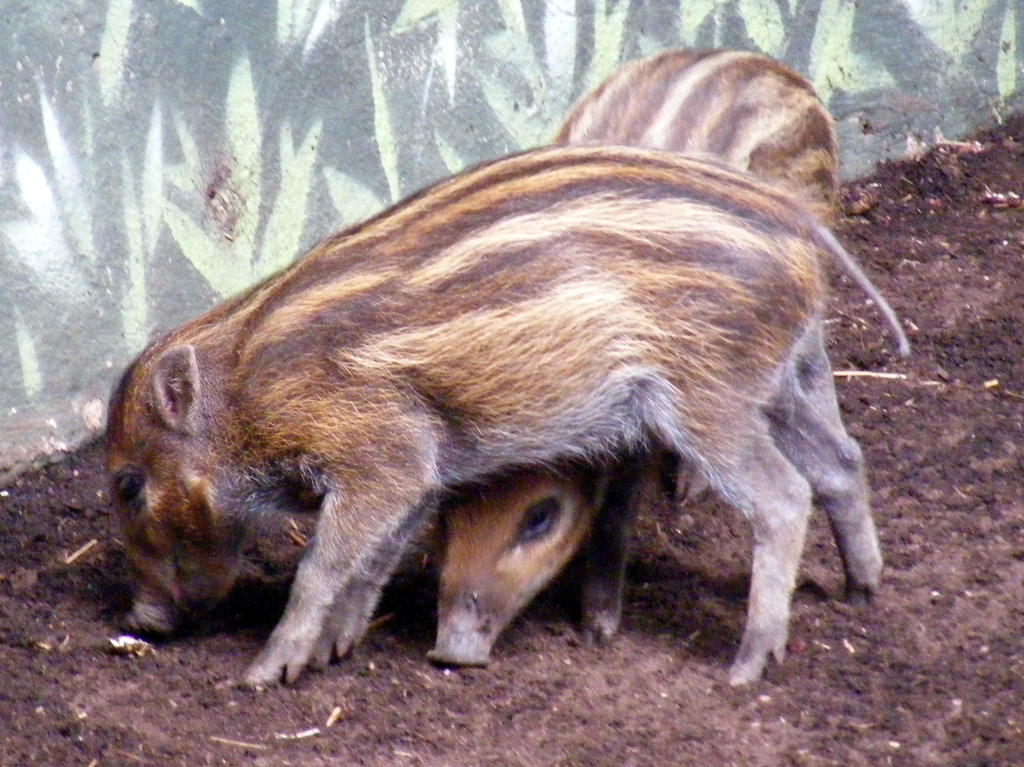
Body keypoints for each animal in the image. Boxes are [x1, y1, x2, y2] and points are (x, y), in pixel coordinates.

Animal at [106, 145, 881, 687]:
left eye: (128, 485)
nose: (139, 618)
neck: (246, 390)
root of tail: (799, 230)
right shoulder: (421, 469)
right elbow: (374, 561)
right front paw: (336, 650)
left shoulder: (384, 456)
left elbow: (322, 567)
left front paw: (269, 671)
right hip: (784, 384)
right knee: (843, 462)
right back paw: (861, 589)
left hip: (709, 400)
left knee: (784, 497)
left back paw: (748, 664)